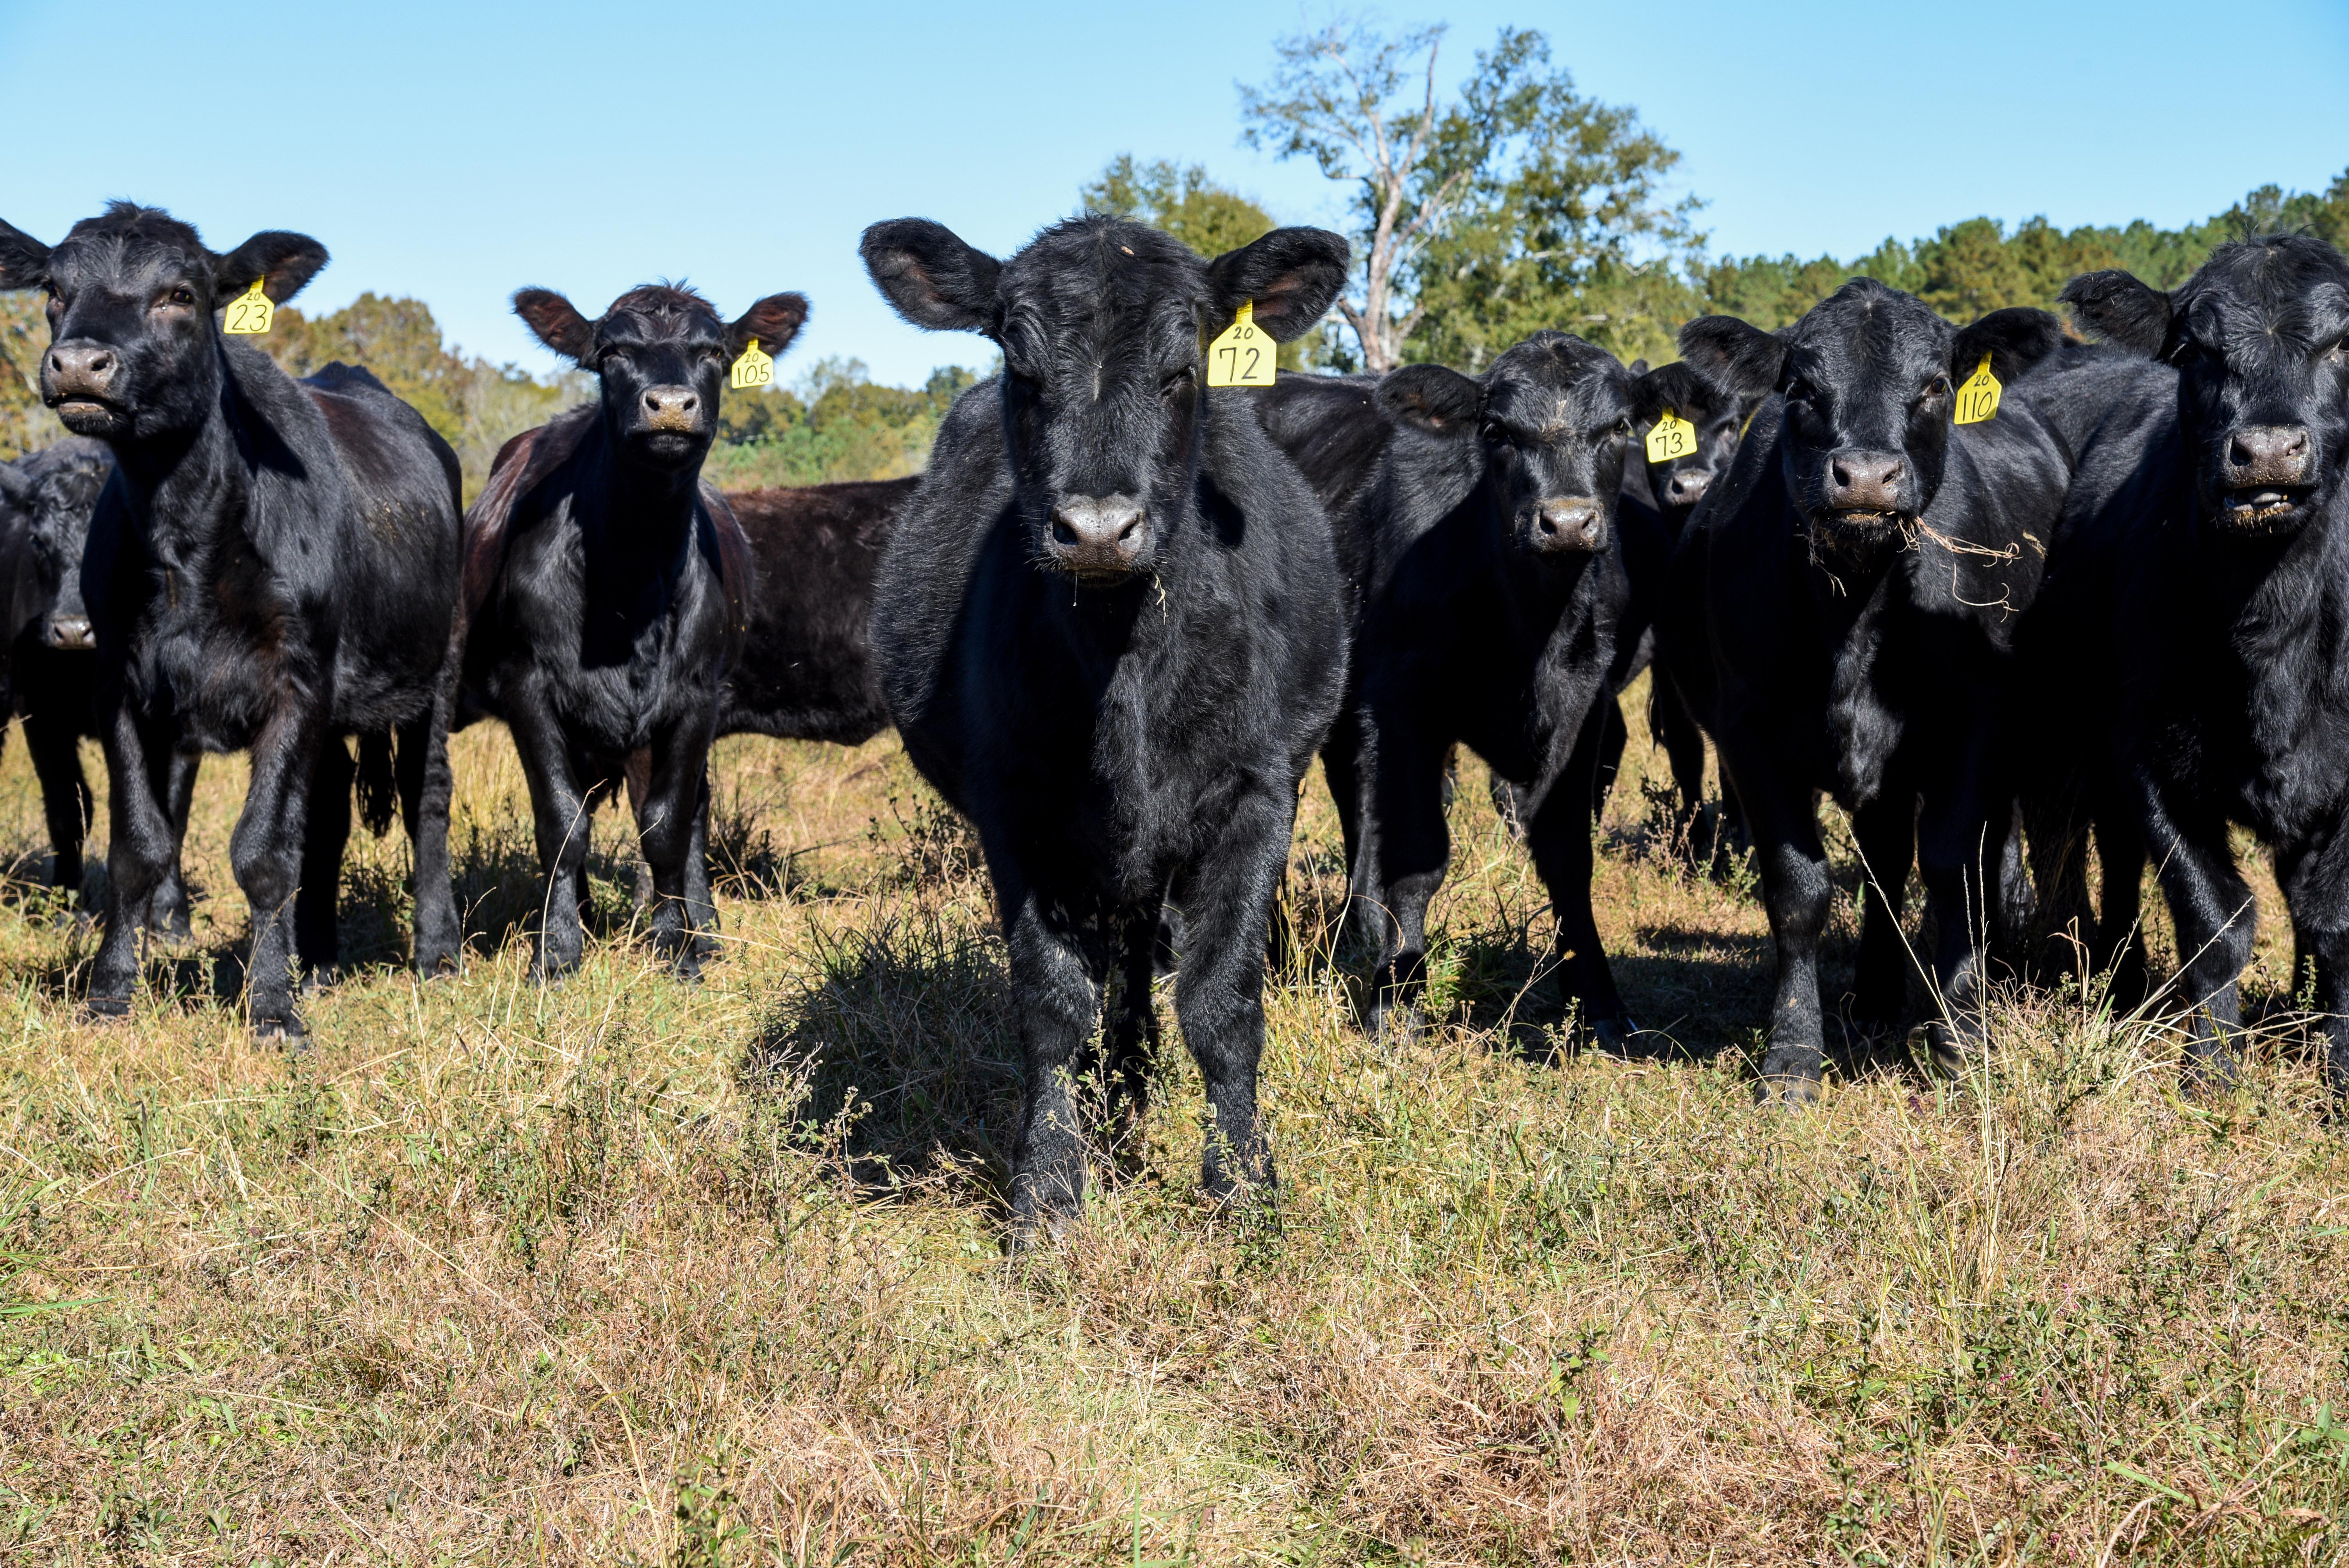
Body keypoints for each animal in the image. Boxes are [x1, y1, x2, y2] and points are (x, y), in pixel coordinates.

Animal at [0, 436, 197, 926]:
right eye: (38, 540)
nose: (73, 629)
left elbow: (173, 810)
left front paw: (170, 916)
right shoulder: (42, 715)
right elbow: (69, 808)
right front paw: (67, 905)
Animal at [461, 282, 804, 982]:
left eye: (714, 351)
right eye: (612, 352)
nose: (670, 405)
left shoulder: (697, 696)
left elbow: (668, 825)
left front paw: (677, 947)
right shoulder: (527, 686)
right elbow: (561, 822)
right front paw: (557, 950)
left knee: (693, 811)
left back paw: (702, 927)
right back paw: (586, 917)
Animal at [860, 215, 1351, 1237]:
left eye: (1182, 366)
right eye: (1020, 365)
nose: (1095, 528)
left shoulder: (1258, 795)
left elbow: (1221, 1002)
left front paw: (1243, 1185)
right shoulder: (1013, 810)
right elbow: (1052, 1003)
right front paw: (1048, 1190)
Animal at [1662, 278, 2079, 1101]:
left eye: (1936, 385)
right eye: (1799, 388)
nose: (1864, 477)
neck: (1858, 607)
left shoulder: (1972, 724)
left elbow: (1951, 868)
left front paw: (1961, 1041)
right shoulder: (1748, 734)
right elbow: (1799, 893)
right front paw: (1792, 1057)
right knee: (1884, 860)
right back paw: (1877, 994)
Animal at [2035, 235, 2349, 1106]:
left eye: (2342, 342)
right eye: (2195, 351)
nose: (2267, 451)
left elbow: (2337, 922)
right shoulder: (2148, 754)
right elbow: (2215, 920)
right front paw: (2208, 1070)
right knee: (2112, 860)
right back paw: (2120, 983)